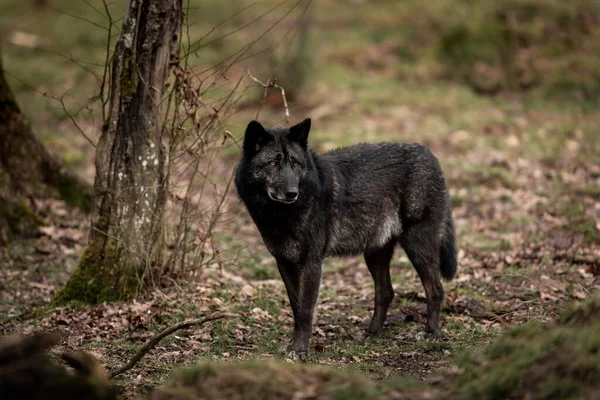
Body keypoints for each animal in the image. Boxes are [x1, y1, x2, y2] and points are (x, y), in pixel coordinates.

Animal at [234, 118, 454, 360]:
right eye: (273, 163)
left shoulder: (312, 263)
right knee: (386, 292)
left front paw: (299, 350)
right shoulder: (284, 262)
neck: (281, 216)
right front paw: (295, 345)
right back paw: (372, 333)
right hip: (375, 253)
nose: (292, 193)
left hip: (417, 246)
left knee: (435, 290)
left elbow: (305, 310)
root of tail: (428, 153)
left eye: (294, 163)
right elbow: (296, 306)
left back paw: (431, 333)